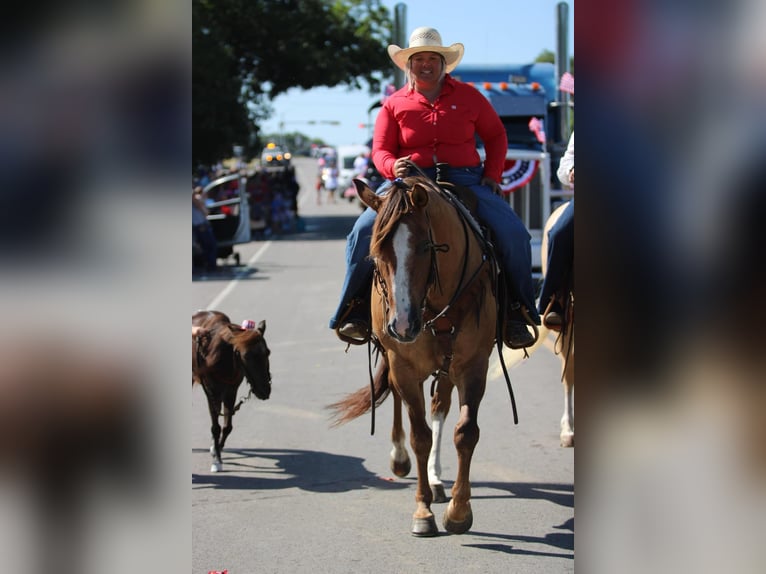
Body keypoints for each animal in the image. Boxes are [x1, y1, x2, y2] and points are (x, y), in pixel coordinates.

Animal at [192, 312, 272, 474]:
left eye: (268, 352)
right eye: (245, 356)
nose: (264, 390)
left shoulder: (231, 392)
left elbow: (227, 427)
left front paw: (217, 450)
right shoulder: (212, 393)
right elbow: (215, 428)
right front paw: (216, 460)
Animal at [330, 176, 498, 540]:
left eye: (425, 247)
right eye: (376, 253)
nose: (403, 324)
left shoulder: (473, 365)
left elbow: (465, 432)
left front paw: (459, 511)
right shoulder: (403, 365)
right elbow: (419, 435)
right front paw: (423, 512)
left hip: (446, 368)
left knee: (439, 409)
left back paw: (436, 480)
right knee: (399, 400)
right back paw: (400, 458)